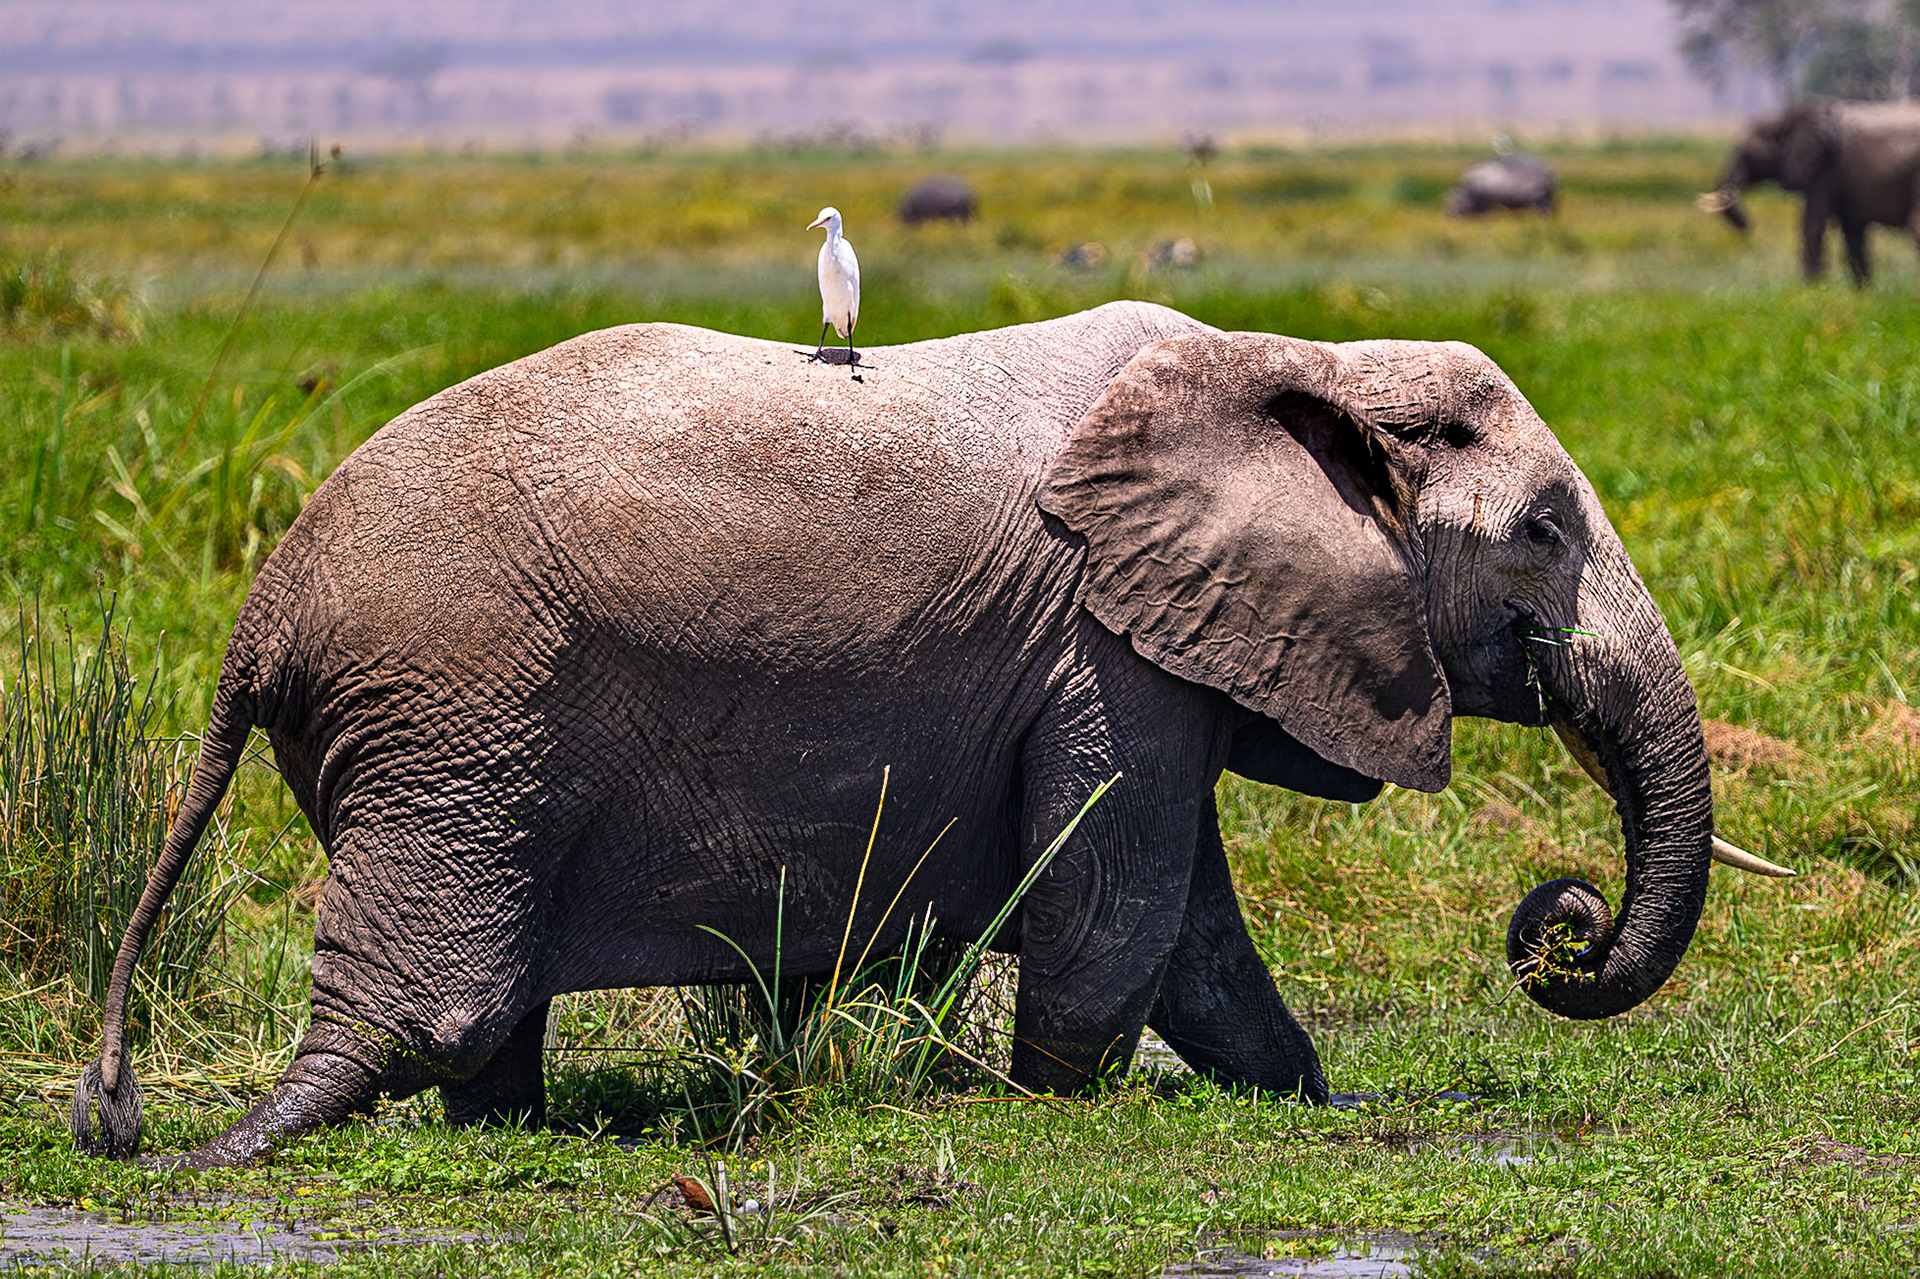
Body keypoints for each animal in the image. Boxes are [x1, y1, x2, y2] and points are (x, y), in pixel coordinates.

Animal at [71, 301, 1769, 1169]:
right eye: (1545, 530)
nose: (1559, 924)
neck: (1296, 359)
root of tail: (261, 615)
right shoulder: (1100, 637)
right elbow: (1119, 902)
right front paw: (1050, 1106)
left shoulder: (1139, 640)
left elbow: (1193, 930)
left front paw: (1316, 1106)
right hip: (457, 711)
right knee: (432, 999)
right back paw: (227, 1151)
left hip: (452, 731)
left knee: (484, 1014)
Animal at [1700, 98, 1920, 284]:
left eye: (1746, 153)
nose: (1747, 227)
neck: (1788, 116)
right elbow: (1853, 232)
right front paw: (1863, 293)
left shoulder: (1827, 169)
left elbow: (1813, 225)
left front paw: (1810, 287)